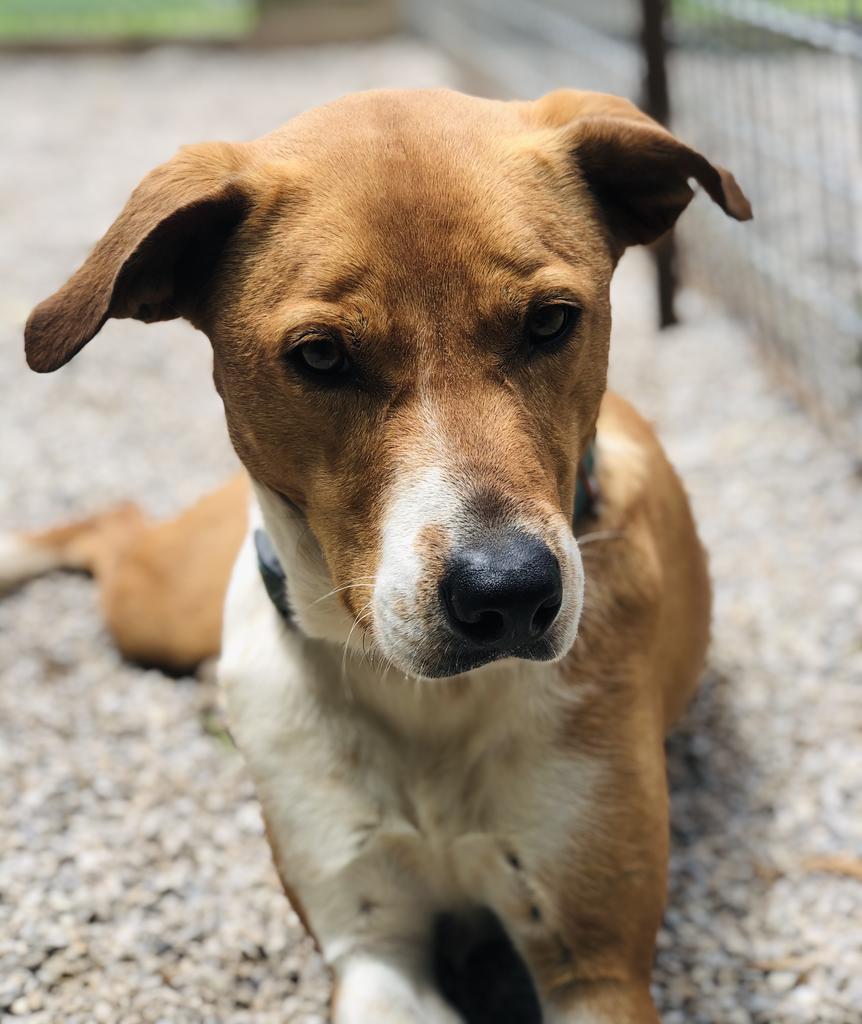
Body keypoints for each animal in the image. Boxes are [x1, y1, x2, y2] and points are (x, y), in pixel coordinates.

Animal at [6, 88, 749, 1024]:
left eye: (550, 322)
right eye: (321, 355)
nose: (509, 594)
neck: (428, 703)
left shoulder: (596, 964)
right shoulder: (371, 945)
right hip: (159, 609)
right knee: (112, 525)